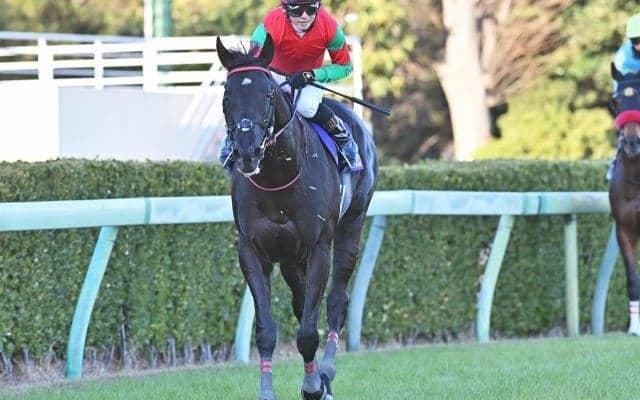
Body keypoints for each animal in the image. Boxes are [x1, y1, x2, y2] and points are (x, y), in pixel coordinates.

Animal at [216, 34, 378, 400]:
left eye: (267, 95)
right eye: (227, 97)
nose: (246, 152)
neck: (278, 177)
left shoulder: (318, 246)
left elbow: (307, 331)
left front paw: (314, 386)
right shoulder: (252, 249)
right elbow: (267, 330)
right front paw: (268, 392)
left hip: (351, 227)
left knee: (336, 302)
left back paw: (326, 374)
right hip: (291, 258)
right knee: (303, 301)